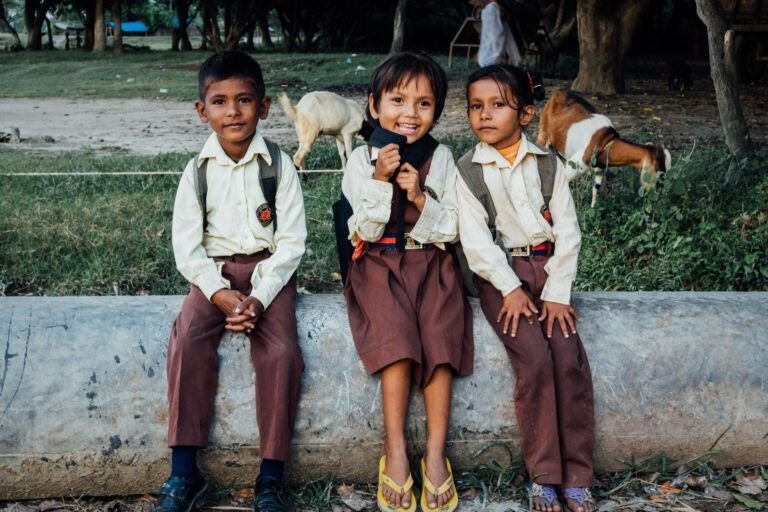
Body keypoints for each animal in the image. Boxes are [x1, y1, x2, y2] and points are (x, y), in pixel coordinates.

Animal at [536, 89, 668, 206]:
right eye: (659, 168)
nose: (660, 191)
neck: (606, 142)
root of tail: (557, 93)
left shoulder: (599, 168)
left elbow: (596, 189)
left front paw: (592, 210)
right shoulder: (574, 165)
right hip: (543, 134)